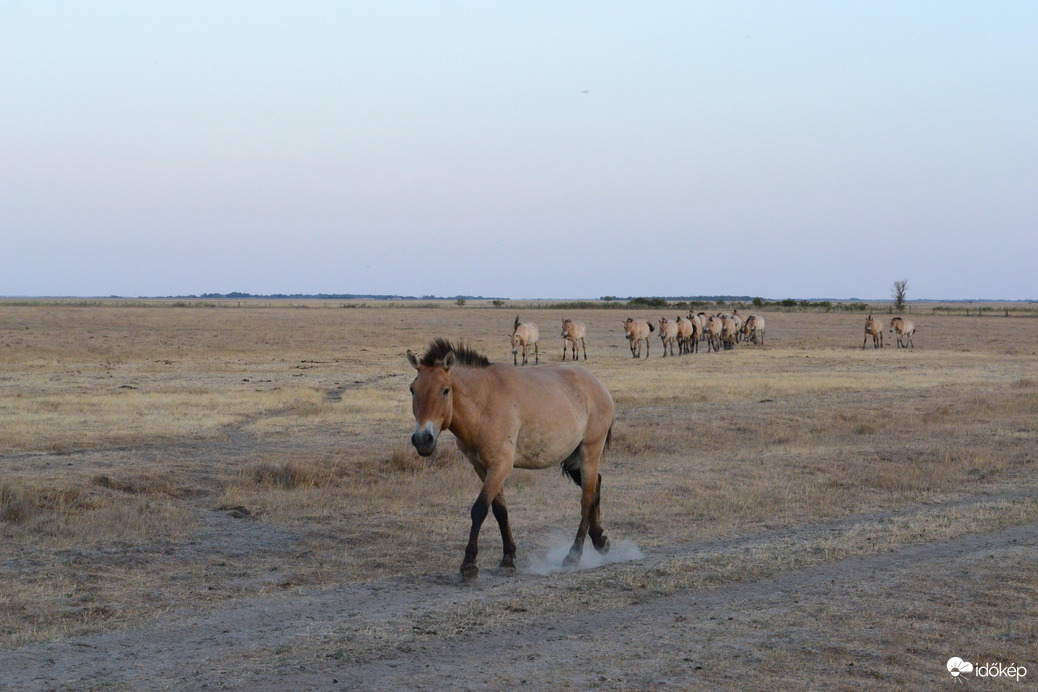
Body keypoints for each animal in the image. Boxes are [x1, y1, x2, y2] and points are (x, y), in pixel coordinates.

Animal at [406, 338, 614, 580]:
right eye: (413, 389)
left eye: (445, 390)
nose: (422, 439)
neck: (484, 402)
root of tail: (600, 387)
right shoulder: (482, 467)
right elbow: (500, 511)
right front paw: (508, 558)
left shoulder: (500, 466)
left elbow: (479, 509)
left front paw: (469, 563)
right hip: (573, 458)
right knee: (596, 487)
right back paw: (599, 540)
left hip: (590, 452)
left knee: (587, 500)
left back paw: (573, 555)